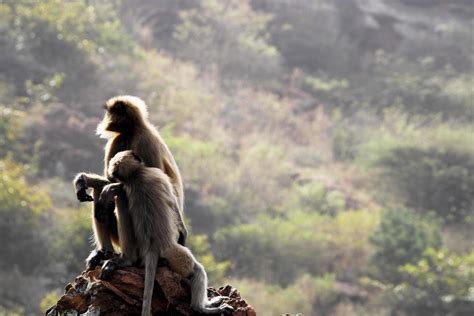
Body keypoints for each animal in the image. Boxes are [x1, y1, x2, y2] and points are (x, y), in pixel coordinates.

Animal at [96, 151, 233, 316]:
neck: (137, 175)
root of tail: (153, 248)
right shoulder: (158, 174)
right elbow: (174, 206)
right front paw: (183, 234)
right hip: (177, 256)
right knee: (195, 270)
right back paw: (201, 308)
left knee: (121, 196)